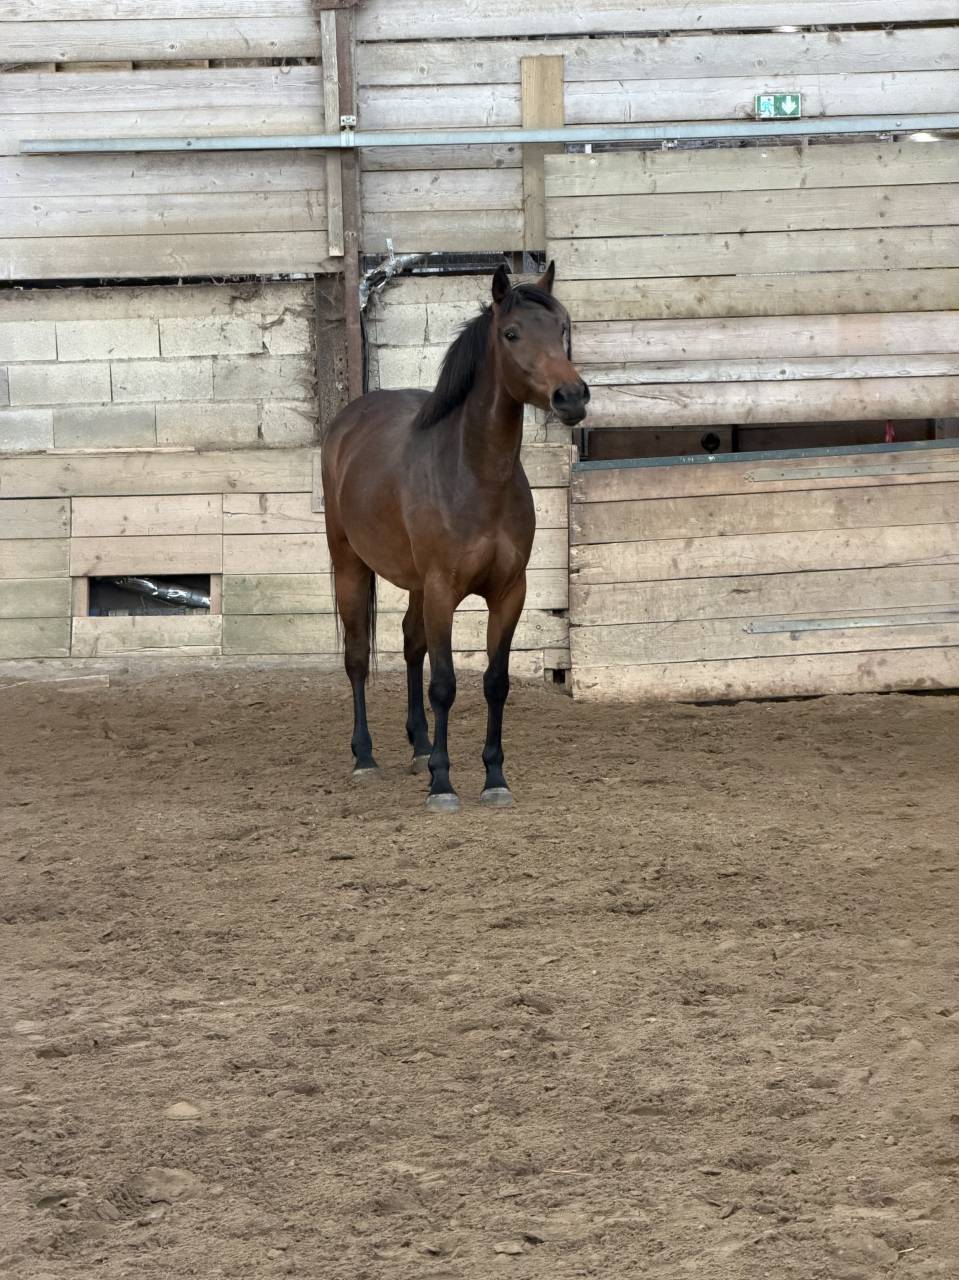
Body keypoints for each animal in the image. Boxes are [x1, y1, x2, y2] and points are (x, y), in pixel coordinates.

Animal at [321, 262, 589, 812]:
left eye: (562, 329)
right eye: (512, 334)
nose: (571, 397)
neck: (476, 476)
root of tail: (348, 422)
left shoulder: (509, 594)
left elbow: (495, 682)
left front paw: (494, 778)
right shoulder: (444, 591)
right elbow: (443, 684)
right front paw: (443, 785)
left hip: (416, 585)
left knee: (409, 645)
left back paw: (420, 747)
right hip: (350, 566)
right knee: (357, 658)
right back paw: (365, 757)